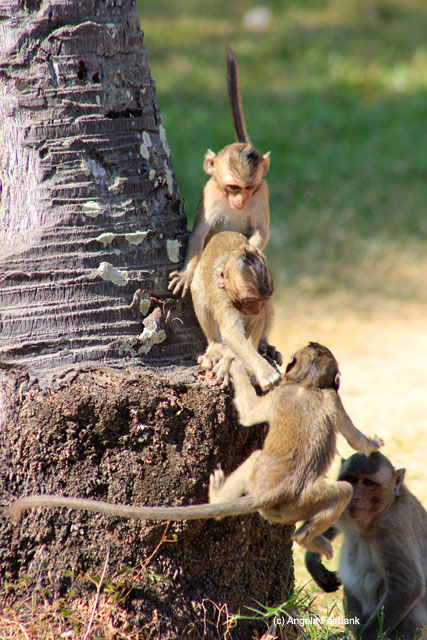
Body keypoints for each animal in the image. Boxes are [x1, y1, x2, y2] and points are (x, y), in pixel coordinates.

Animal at [4, 343, 383, 561]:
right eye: (313, 347)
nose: (311, 341)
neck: (308, 385)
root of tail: (275, 491)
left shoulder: (319, 397)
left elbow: (250, 415)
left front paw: (234, 362)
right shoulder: (327, 397)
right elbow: (355, 441)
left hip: (292, 502)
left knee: (335, 489)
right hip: (292, 505)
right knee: (334, 491)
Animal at [168, 46, 270, 300]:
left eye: (250, 188)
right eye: (233, 187)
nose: (241, 200)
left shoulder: (262, 193)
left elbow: (262, 232)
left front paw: (247, 250)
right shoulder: (210, 194)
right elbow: (198, 234)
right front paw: (187, 274)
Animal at [190, 230, 280, 391]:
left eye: (262, 300)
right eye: (249, 301)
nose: (256, 309)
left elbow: (255, 323)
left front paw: (228, 363)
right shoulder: (224, 300)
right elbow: (231, 334)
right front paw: (266, 373)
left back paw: (264, 344)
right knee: (198, 290)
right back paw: (215, 347)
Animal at [304, 452, 427, 640]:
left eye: (368, 483)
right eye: (351, 479)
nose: (355, 496)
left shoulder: (393, 528)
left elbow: (408, 586)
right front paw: (312, 560)